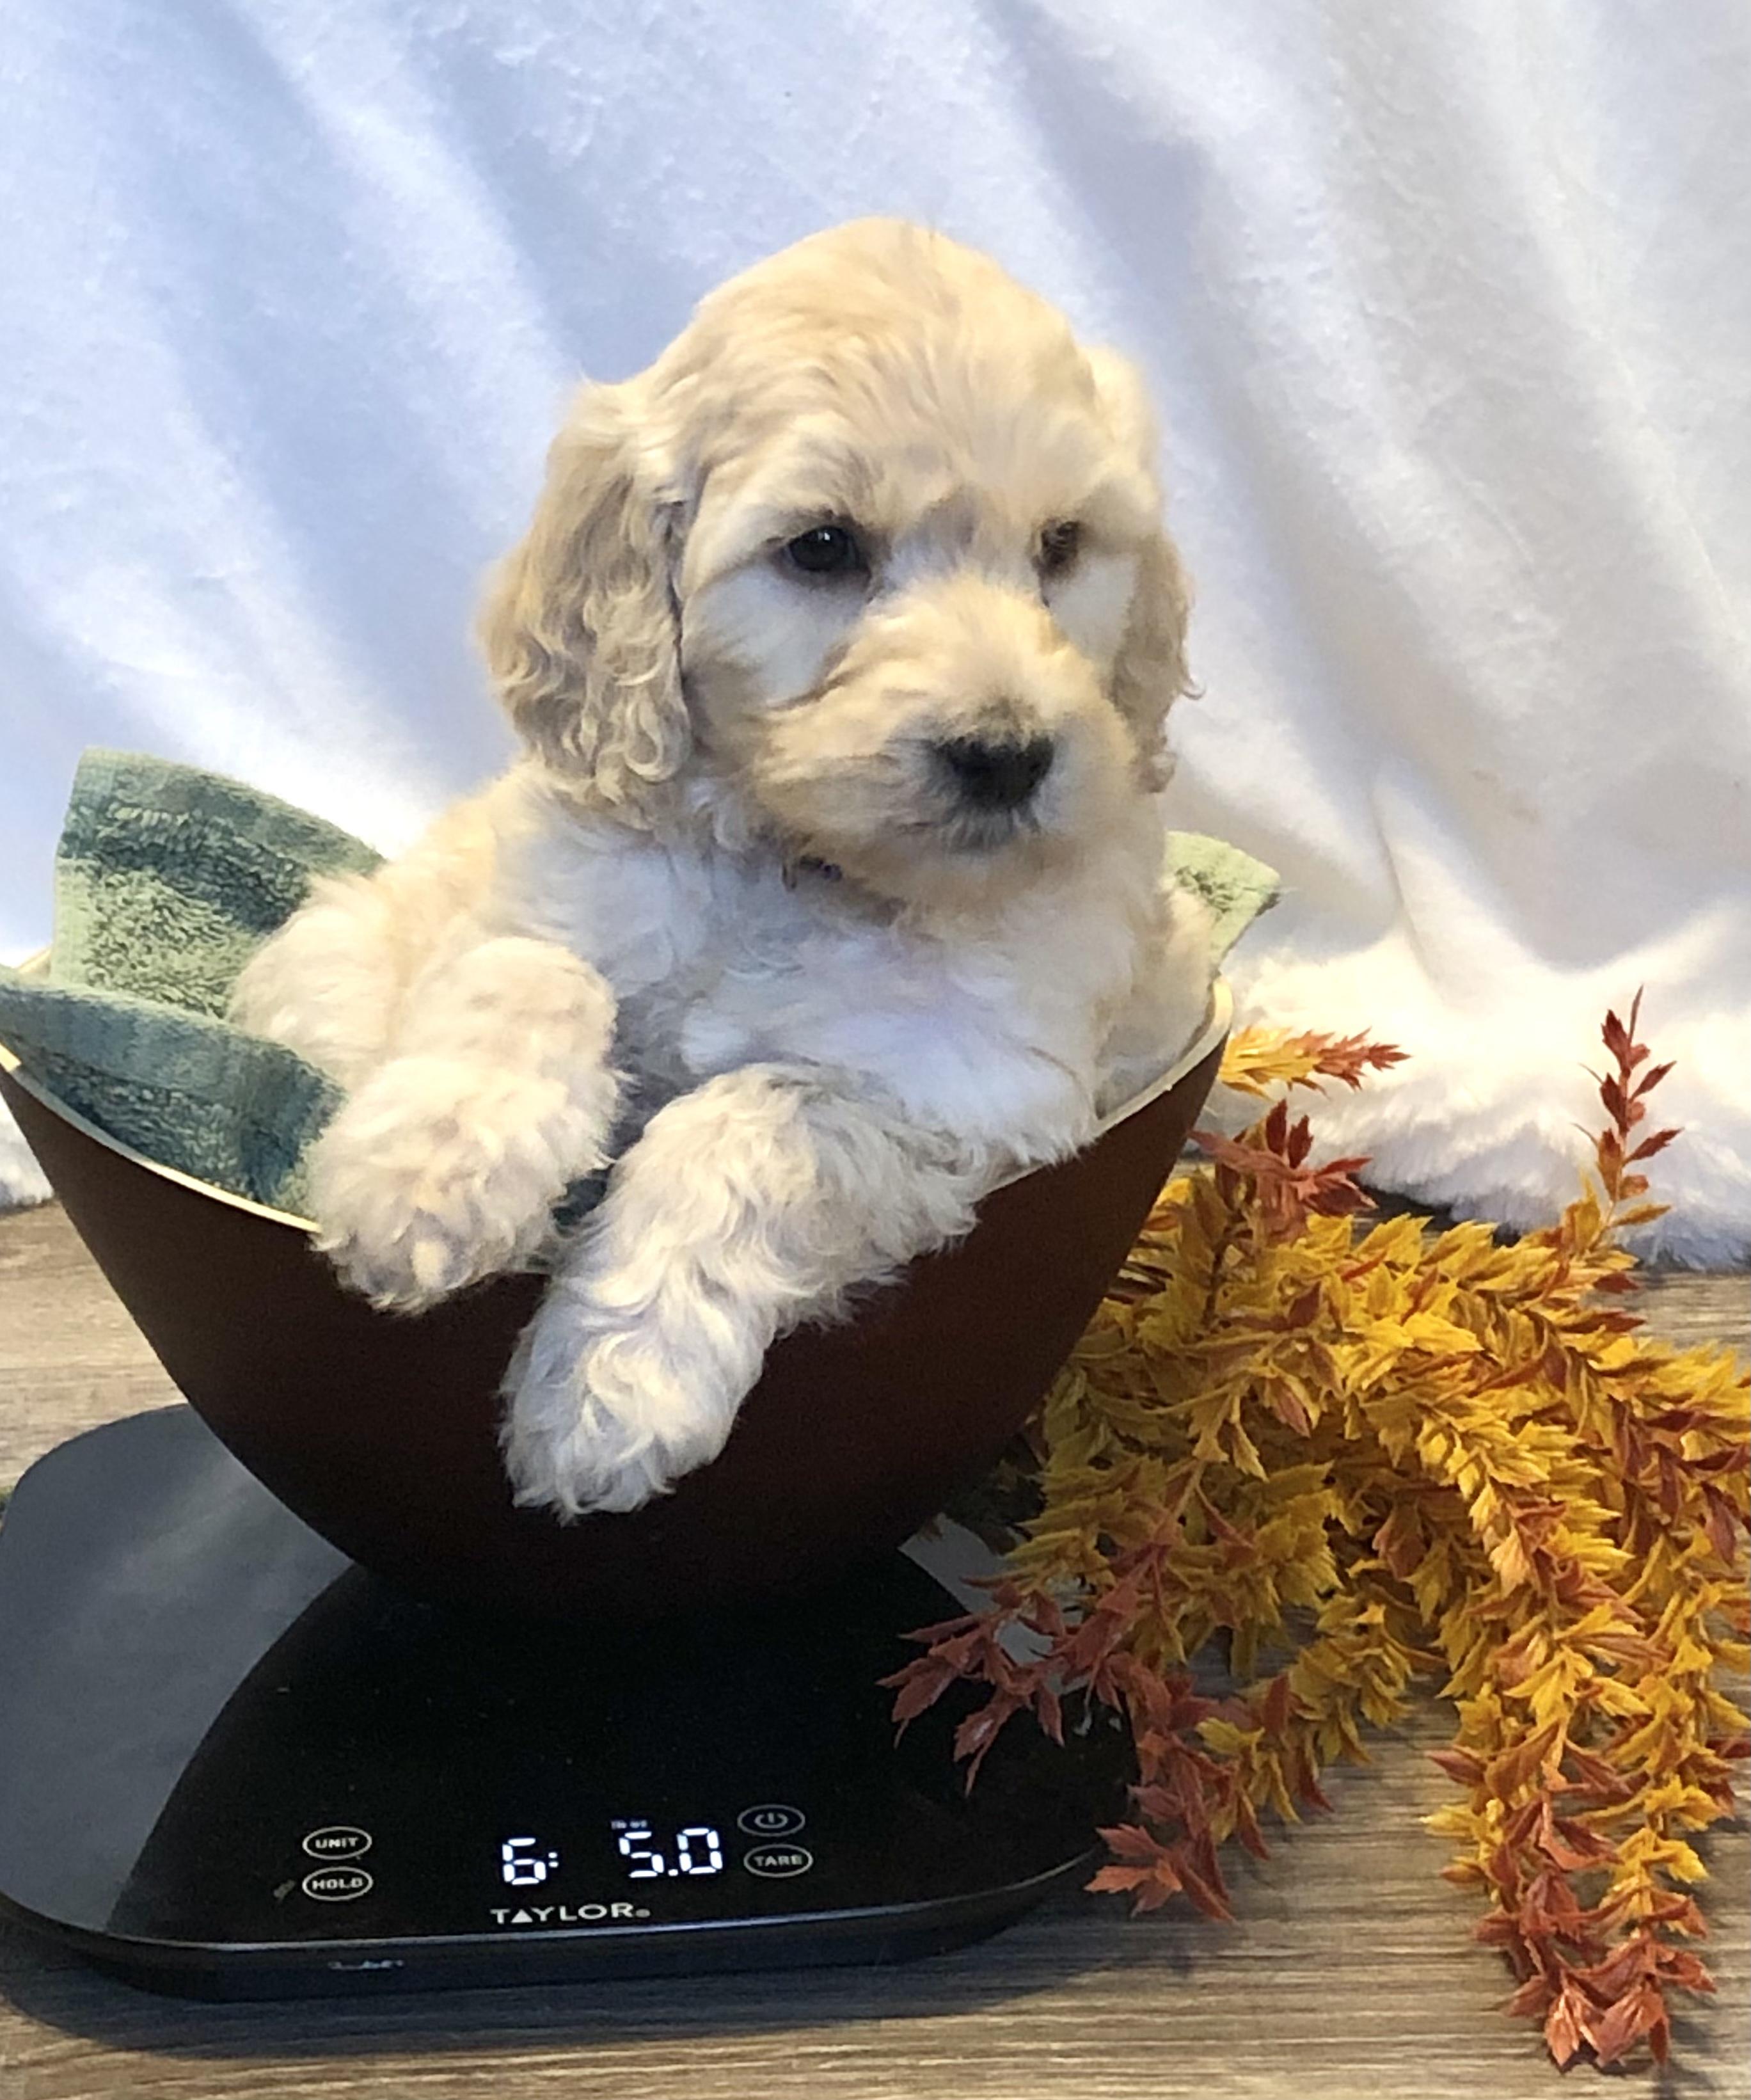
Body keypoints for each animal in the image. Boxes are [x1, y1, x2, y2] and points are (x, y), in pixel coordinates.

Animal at [231, 219, 1212, 1519]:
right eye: (822, 548)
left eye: (1064, 546)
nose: (1004, 756)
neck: (792, 864)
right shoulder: (538, 892)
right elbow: (534, 978)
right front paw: (432, 1177)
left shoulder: (963, 1099)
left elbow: (751, 1111)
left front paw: (612, 1385)